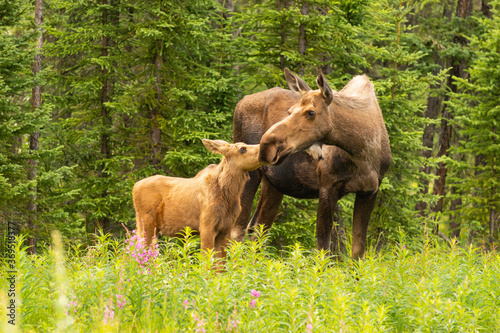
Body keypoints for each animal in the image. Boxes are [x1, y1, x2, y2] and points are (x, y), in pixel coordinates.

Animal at [133, 139, 262, 258]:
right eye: (242, 149)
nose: (262, 148)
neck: (229, 196)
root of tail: (134, 186)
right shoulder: (206, 226)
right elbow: (206, 260)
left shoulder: (226, 228)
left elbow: (220, 264)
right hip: (146, 222)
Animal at [232, 68, 392, 260]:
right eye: (289, 111)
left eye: (311, 112)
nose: (266, 145)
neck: (361, 153)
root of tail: (241, 101)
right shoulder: (327, 187)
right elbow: (323, 249)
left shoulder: (369, 191)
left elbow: (357, 251)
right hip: (249, 173)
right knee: (237, 229)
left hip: (274, 183)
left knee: (257, 228)